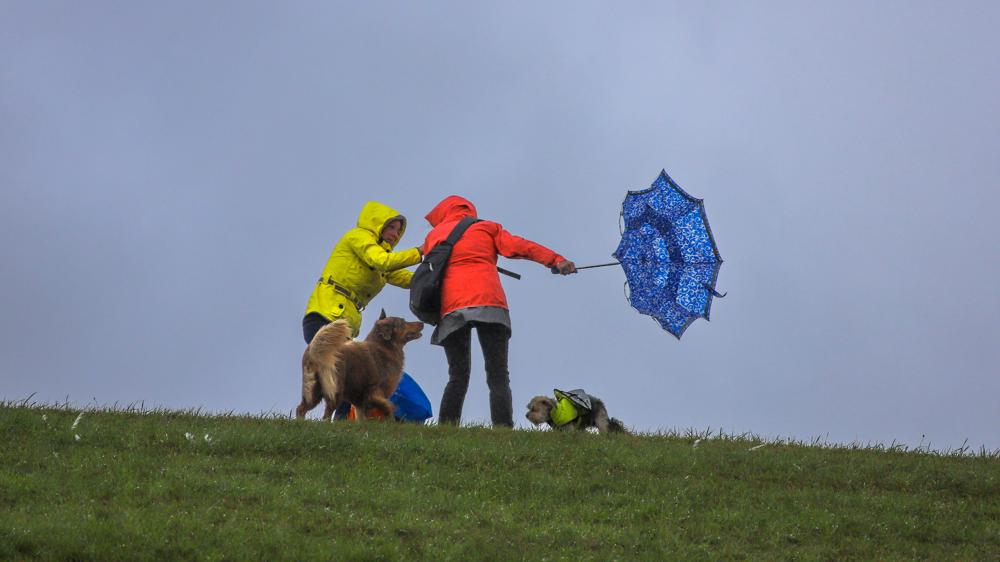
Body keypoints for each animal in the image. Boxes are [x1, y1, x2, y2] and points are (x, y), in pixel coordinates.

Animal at [294, 310, 424, 420]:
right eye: (403, 322)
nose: (422, 323)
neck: (383, 346)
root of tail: (313, 351)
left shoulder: (360, 402)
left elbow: (363, 418)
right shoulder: (375, 393)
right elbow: (389, 407)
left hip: (313, 391)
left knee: (301, 409)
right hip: (335, 390)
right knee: (326, 414)